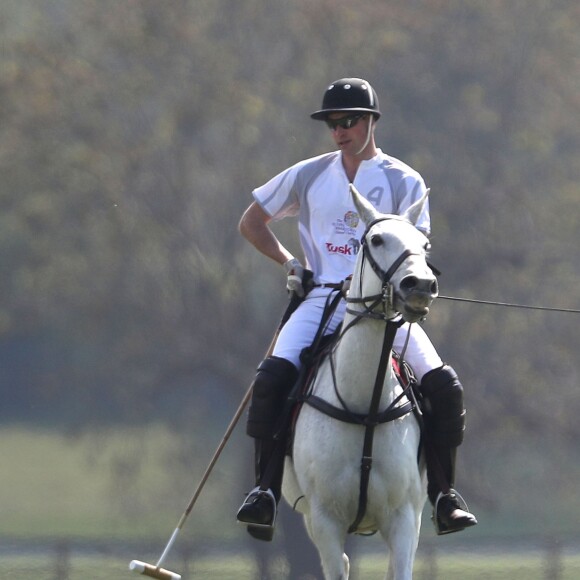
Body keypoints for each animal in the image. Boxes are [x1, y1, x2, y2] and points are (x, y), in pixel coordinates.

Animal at [284, 186, 438, 580]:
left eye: (425, 244)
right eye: (376, 239)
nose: (420, 286)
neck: (364, 407)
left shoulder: (404, 519)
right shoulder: (324, 519)